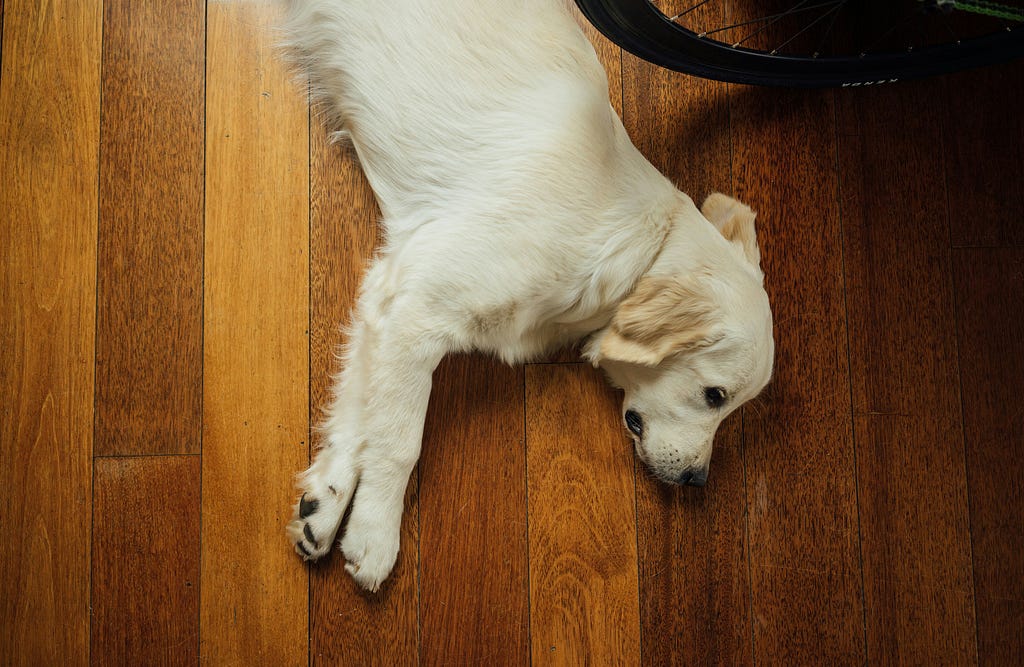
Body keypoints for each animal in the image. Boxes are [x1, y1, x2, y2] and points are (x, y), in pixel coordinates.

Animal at [284, 0, 770, 594]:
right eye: (714, 396)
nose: (697, 481)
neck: (635, 248)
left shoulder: (388, 297)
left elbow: (359, 421)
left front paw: (324, 507)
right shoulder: (421, 311)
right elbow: (399, 439)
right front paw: (374, 536)